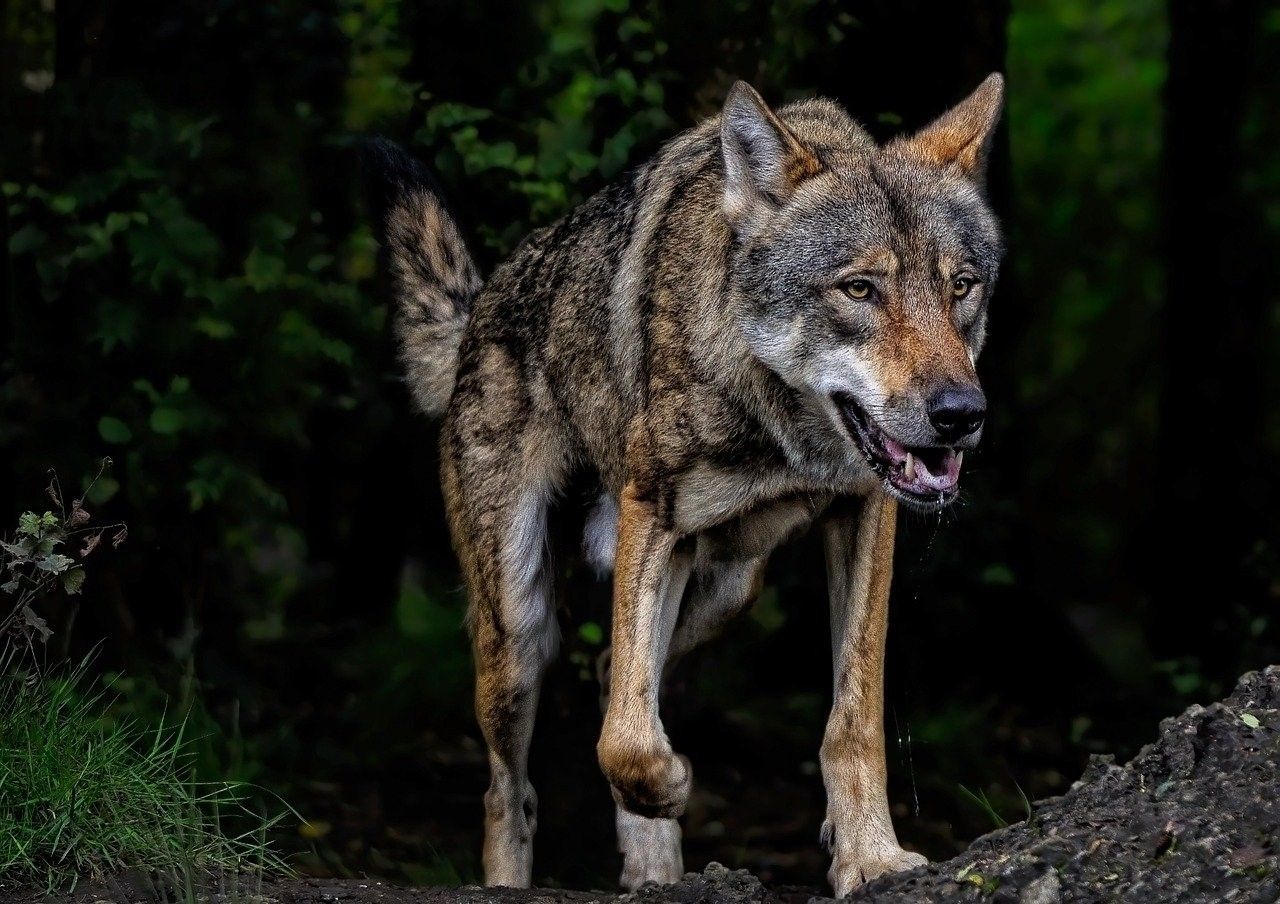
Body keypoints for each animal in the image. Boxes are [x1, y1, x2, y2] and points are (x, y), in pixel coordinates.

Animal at [366, 73, 1004, 895]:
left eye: (961, 287)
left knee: (617, 672)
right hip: (518, 631)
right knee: (514, 786)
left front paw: (870, 857)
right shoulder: (653, 515)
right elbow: (626, 743)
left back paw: (656, 868)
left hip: (731, 588)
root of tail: (480, 310)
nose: (960, 414)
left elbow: (853, 718)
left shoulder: (866, 514)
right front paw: (671, 784)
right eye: (859, 289)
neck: (779, 426)